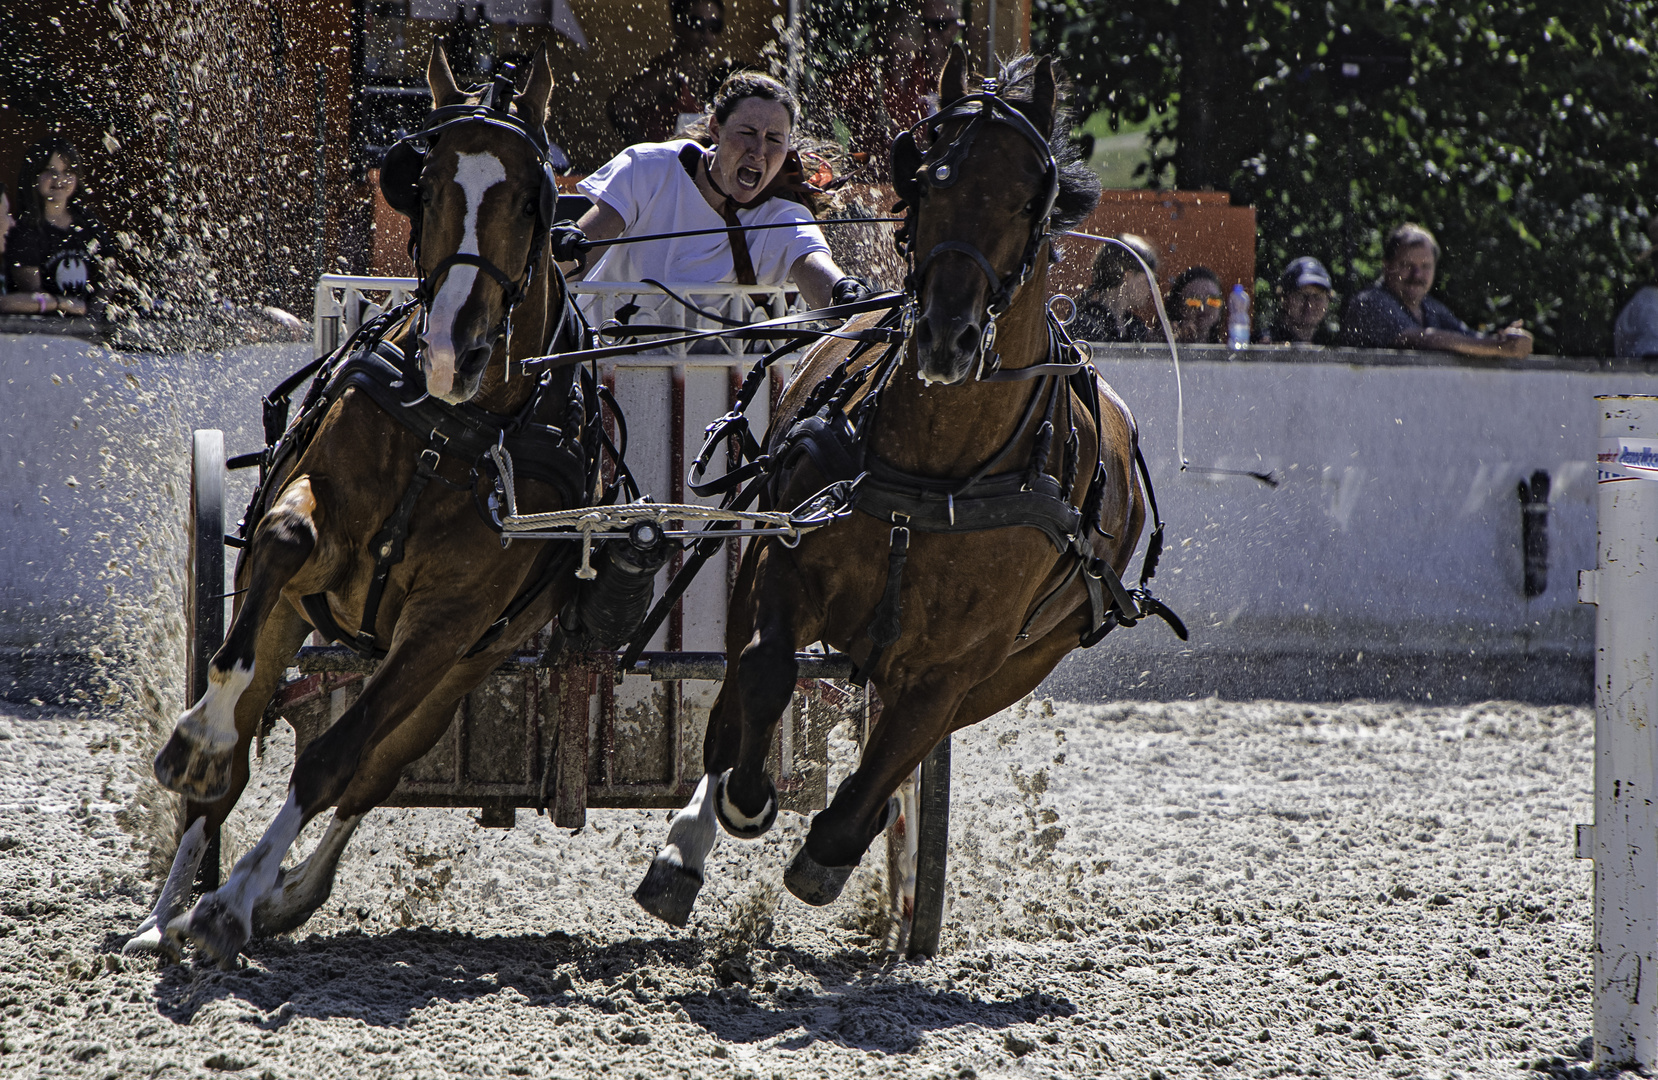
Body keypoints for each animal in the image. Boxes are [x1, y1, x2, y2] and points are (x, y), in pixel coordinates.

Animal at [129, 46, 596, 968]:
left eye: (533, 197)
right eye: (429, 182)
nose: (452, 349)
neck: (447, 433)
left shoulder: (449, 627)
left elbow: (336, 761)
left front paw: (236, 904)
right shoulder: (308, 535)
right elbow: (278, 539)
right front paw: (197, 746)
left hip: (464, 671)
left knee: (373, 772)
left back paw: (269, 895)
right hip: (294, 617)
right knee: (234, 760)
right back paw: (165, 907)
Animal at [626, 48, 1173, 929]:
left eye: (1030, 197)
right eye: (927, 180)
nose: (947, 335)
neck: (940, 473)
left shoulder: (961, 662)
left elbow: (895, 755)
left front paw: (837, 846)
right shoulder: (784, 562)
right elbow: (766, 672)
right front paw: (744, 803)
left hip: (1019, 665)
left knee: (898, 744)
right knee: (732, 699)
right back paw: (686, 844)